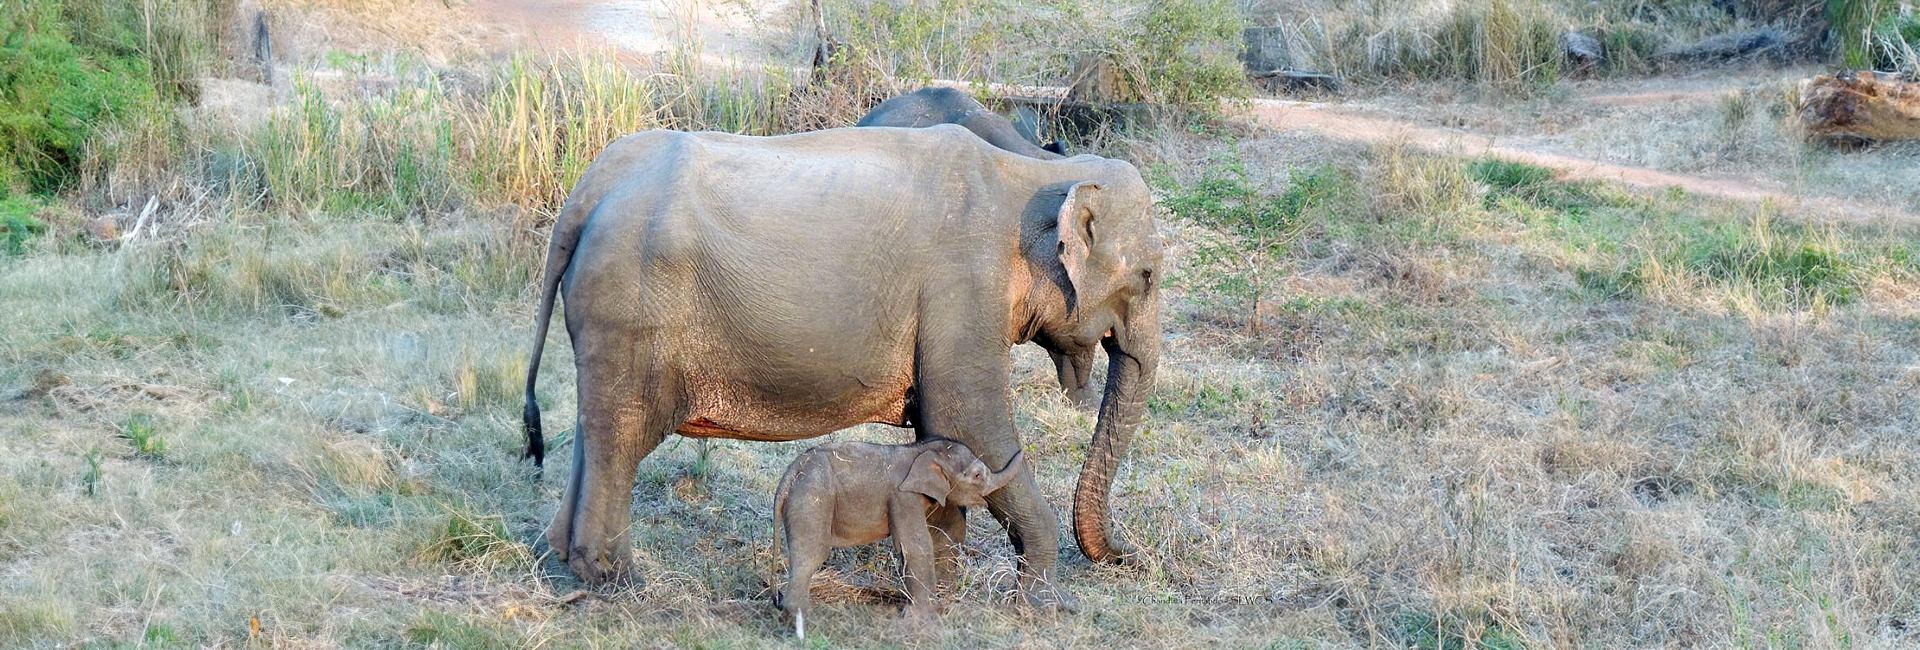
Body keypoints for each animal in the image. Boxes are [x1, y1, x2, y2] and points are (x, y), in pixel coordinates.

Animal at [521, 123, 1162, 610]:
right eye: (1149, 276)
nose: (1129, 555)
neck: (1030, 169)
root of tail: (589, 189)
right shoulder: (963, 288)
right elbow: (973, 424)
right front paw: (1044, 604)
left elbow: (944, 437)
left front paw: (943, 591)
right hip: (632, 308)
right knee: (623, 437)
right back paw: (617, 582)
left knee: (593, 426)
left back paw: (562, 561)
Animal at [773, 438, 1022, 638]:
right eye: (977, 475)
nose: (1020, 450)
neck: (921, 450)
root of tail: (791, 473)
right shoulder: (904, 496)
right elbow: (917, 544)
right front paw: (925, 620)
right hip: (812, 498)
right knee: (811, 554)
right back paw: (800, 626)